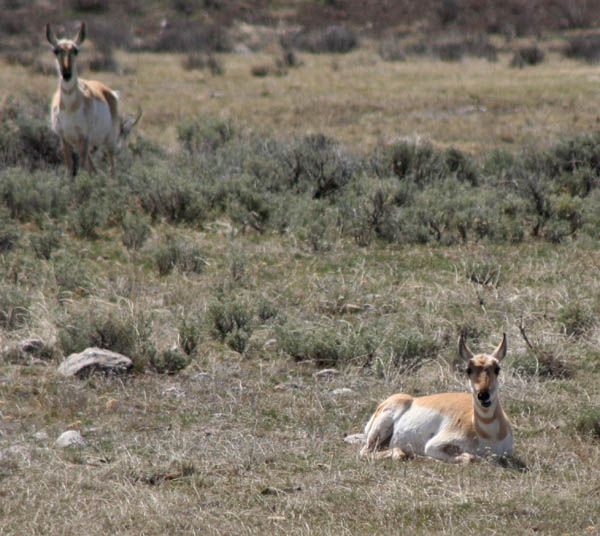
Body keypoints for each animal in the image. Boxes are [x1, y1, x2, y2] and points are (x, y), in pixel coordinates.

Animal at [46, 22, 142, 177]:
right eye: (56, 50)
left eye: (76, 50)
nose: (66, 74)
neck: (70, 107)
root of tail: (109, 92)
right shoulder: (64, 138)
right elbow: (69, 167)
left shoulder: (84, 137)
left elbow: (83, 166)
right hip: (82, 143)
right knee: (93, 166)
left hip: (109, 142)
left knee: (111, 168)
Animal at [358, 332, 512, 462]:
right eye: (468, 370)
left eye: (497, 369)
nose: (483, 395)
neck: (488, 435)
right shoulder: (432, 446)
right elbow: (470, 458)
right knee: (366, 452)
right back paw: (402, 453)